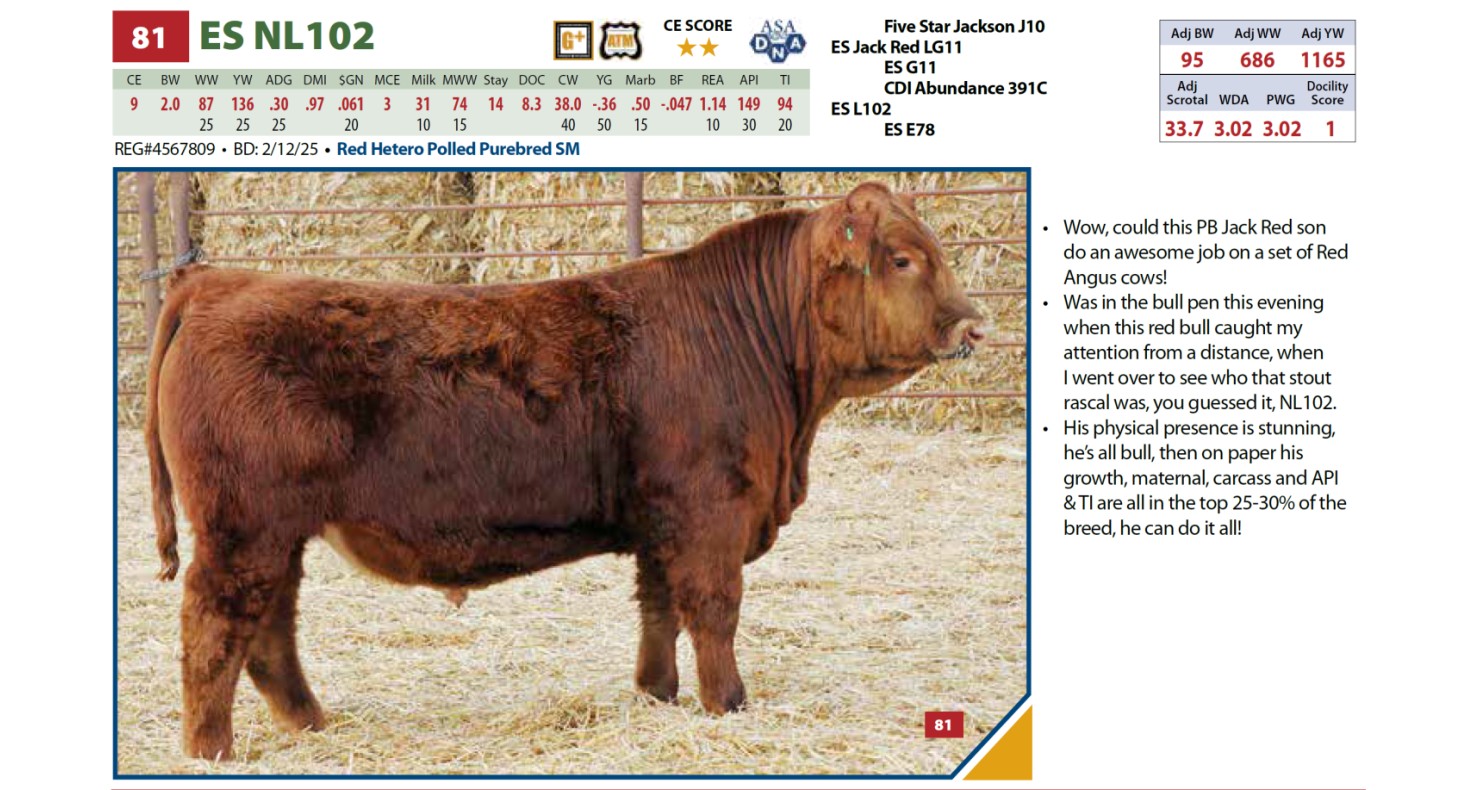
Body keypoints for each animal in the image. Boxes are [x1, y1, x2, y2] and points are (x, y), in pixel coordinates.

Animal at [144, 182, 988, 760]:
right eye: (903, 258)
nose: (975, 326)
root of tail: (218, 281)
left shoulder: (663, 519)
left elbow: (658, 608)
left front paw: (658, 696)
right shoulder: (710, 511)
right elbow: (714, 611)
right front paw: (730, 705)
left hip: (276, 533)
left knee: (268, 631)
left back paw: (313, 726)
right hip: (242, 528)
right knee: (215, 627)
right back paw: (210, 749)